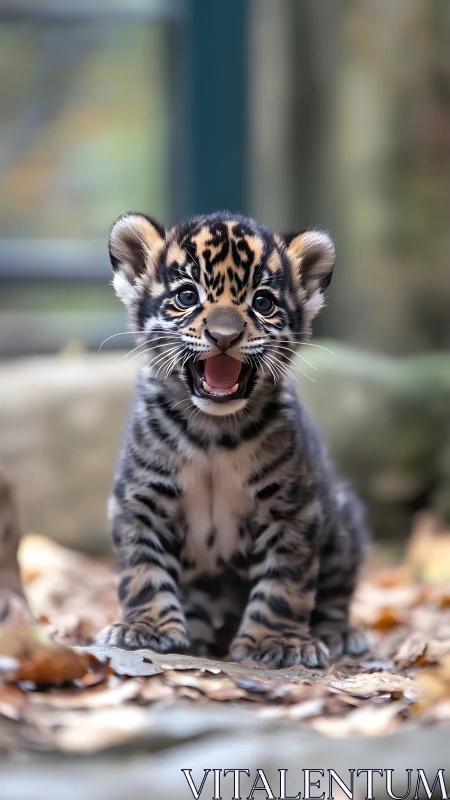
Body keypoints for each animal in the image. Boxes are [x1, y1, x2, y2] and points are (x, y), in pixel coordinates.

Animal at [97, 210, 369, 668]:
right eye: (187, 296)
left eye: (262, 302)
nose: (224, 335)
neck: (213, 435)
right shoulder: (140, 499)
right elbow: (142, 569)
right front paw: (145, 629)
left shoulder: (293, 509)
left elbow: (285, 583)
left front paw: (275, 642)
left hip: (343, 519)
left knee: (334, 593)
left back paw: (339, 636)